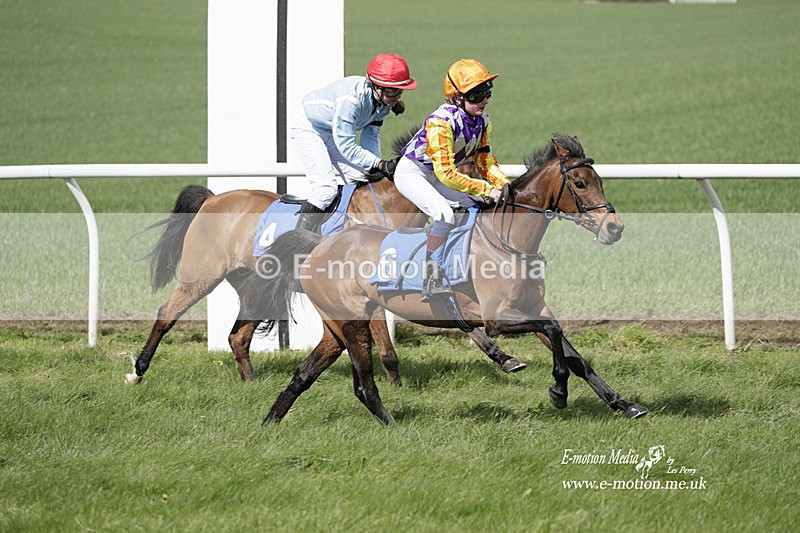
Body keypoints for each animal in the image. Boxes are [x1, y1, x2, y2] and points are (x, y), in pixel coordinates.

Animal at [252, 133, 649, 424]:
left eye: (599, 181)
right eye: (580, 183)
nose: (614, 228)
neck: (507, 241)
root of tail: (319, 243)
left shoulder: (533, 307)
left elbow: (572, 353)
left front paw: (624, 403)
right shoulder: (497, 319)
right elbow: (551, 334)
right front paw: (558, 392)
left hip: (337, 326)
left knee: (305, 373)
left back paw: (269, 423)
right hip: (353, 321)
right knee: (363, 380)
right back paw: (391, 424)